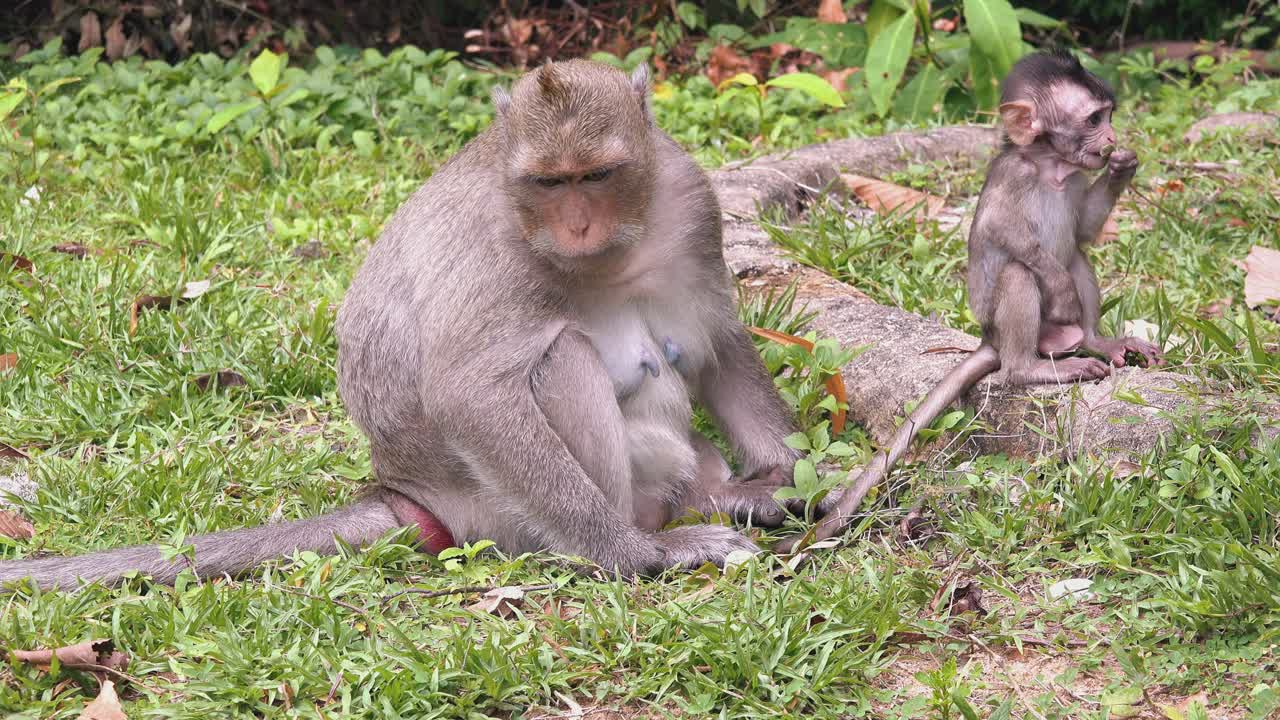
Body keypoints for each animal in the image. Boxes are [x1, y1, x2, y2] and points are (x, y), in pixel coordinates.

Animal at [0, 60, 805, 591]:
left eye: (596, 175)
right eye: (549, 182)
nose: (576, 226)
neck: (613, 249)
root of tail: (408, 493)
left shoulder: (690, 202)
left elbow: (717, 340)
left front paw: (794, 476)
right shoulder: (496, 253)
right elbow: (471, 395)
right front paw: (634, 556)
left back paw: (716, 498)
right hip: (504, 515)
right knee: (560, 360)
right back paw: (634, 538)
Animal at [776, 50, 1165, 553]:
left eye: (1109, 116)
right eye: (1095, 119)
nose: (1113, 139)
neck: (1050, 168)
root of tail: (989, 340)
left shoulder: (1077, 175)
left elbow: (1083, 234)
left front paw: (1122, 167)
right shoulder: (1014, 176)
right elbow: (1001, 231)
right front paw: (1059, 288)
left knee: (1076, 256)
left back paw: (1097, 341)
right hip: (1009, 328)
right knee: (1022, 274)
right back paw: (1032, 367)